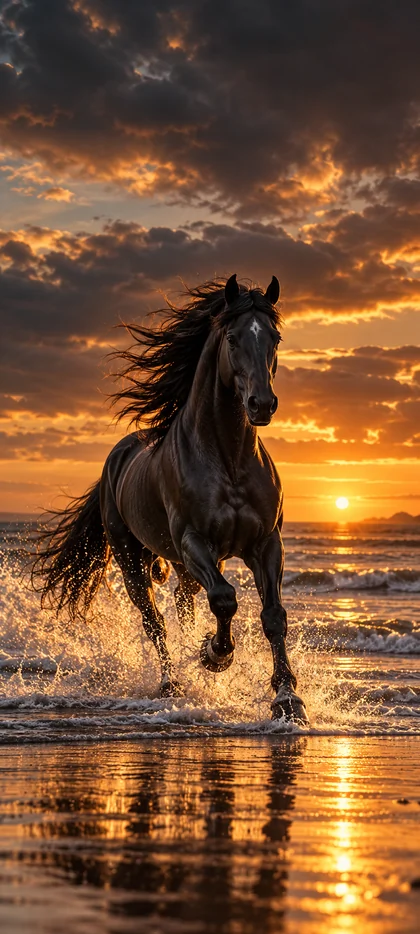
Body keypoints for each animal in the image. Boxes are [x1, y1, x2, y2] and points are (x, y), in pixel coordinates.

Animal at [31, 274, 308, 724]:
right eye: (233, 338)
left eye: (275, 337)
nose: (262, 404)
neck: (228, 459)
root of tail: (117, 458)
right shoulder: (194, 540)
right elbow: (225, 599)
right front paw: (215, 655)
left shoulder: (266, 543)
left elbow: (273, 617)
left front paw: (288, 700)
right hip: (133, 560)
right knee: (155, 619)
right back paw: (171, 683)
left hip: (183, 564)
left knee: (183, 602)